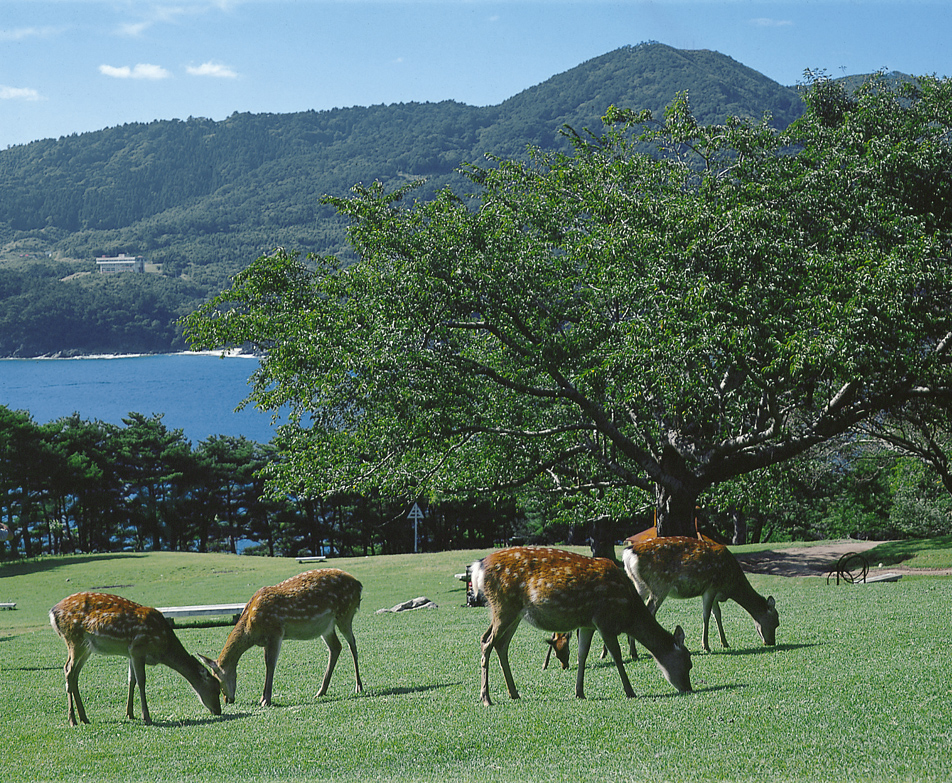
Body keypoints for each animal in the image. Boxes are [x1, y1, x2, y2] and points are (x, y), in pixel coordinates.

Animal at [48, 596, 223, 728]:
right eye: (216, 689)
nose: (218, 710)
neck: (163, 647)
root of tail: (52, 612)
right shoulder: (138, 647)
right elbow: (141, 681)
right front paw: (147, 717)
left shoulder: (131, 652)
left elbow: (131, 680)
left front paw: (130, 714)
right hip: (74, 639)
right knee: (68, 670)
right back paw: (72, 720)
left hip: (86, 647)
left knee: (74, 675)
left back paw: (84, 718)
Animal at [199, 568, 362, 708]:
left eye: (217, 680)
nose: (227, 699)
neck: (250, 629)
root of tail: (359, 584)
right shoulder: (266, 640)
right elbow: (267, 664)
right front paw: (262, 698)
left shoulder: (275, 632)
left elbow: (271, 664)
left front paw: (266, 700)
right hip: (326, 627)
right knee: (336, 647)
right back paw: (321, 691)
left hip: (345, 614)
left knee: (352, 644)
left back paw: (358, 686)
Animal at [470, 548, 688, 708]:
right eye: (689, 662)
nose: (688, 688)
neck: (628, 612)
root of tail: (478, 568)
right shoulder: (604, 620)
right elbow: (616, 655)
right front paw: (630, 691)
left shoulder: (587, 624)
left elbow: (582, 654)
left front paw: (579, 692)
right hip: (503, 606)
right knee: (486, 642)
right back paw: (486, 698)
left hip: (513, 613)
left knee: (500, 644)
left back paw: (514, 693)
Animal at [620, 536, 776, 652]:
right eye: (776, 623)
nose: (771, 642)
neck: (730, 584)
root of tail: (628, 553)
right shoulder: (710, 587)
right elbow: (706, 615)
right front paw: (705, 646)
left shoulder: (714, 593)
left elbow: (717, 614)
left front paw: (724, 643)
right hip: (659, 585)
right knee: (649, 612)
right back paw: (638, 650)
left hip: (640, 586)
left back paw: (631, 650)